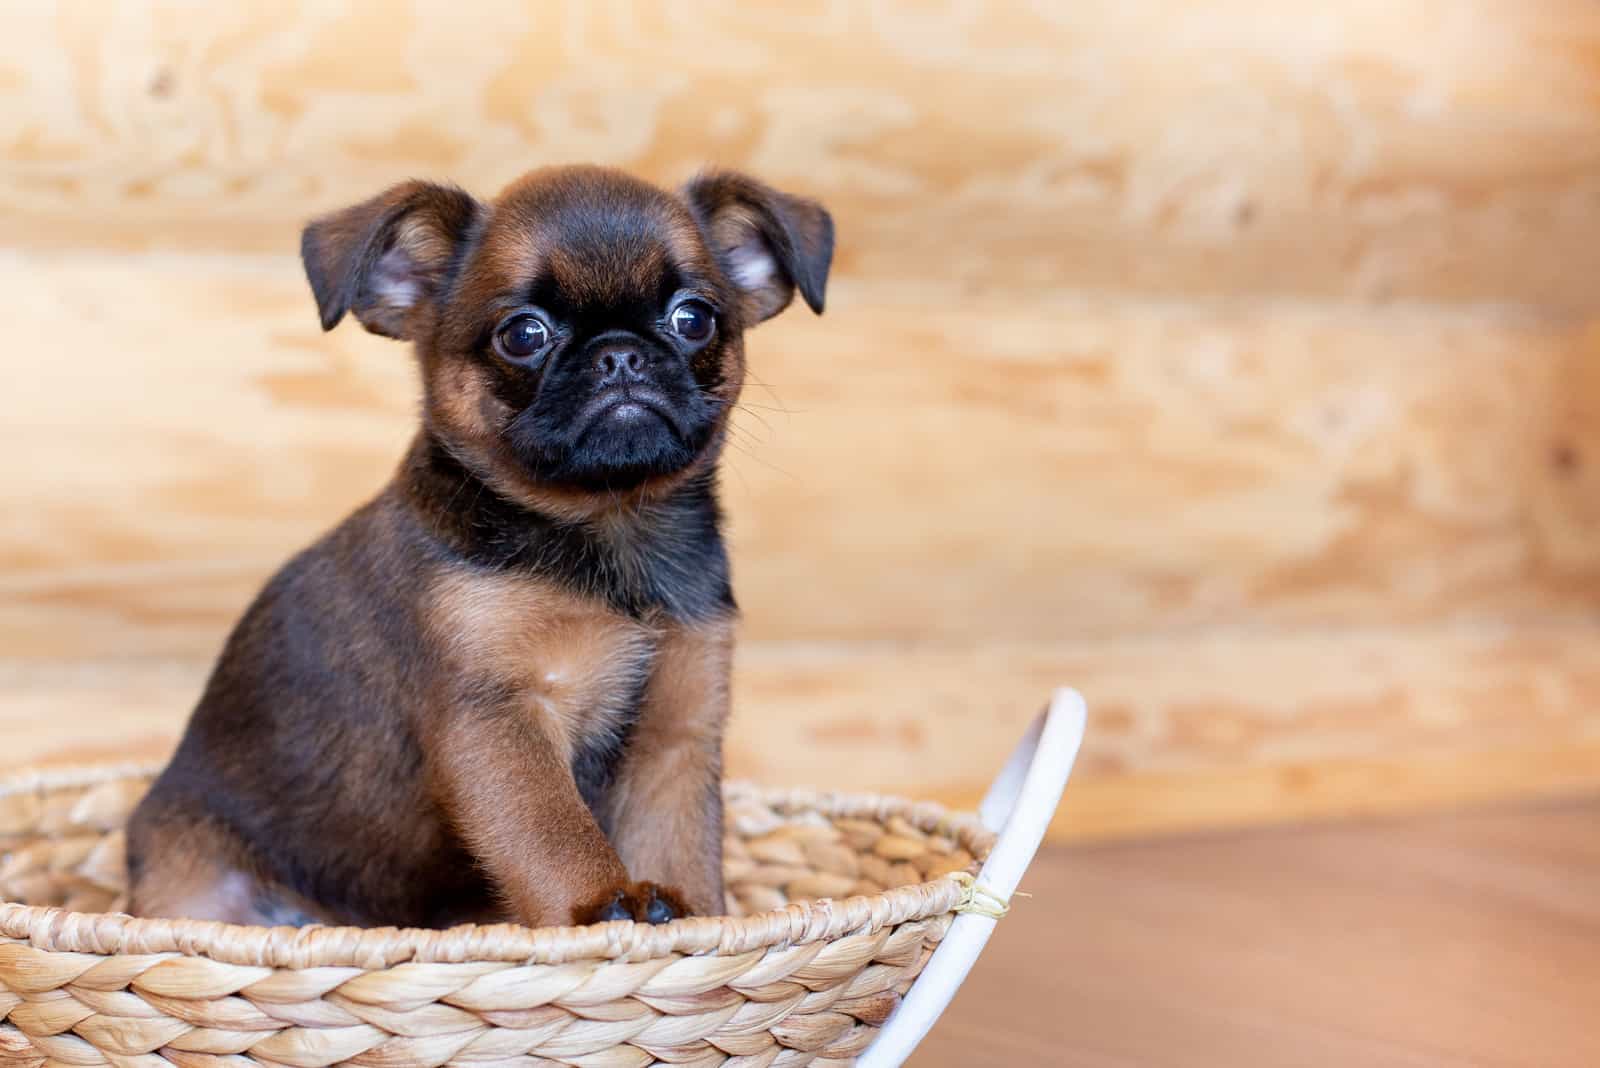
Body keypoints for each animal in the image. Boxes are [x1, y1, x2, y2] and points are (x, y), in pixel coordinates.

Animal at [121, 164, 838, 927]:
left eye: (693, 318)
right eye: (522, 335)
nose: (620, 353)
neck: (610, 534)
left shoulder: (677, 736)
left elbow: (680, 850)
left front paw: (690, 919)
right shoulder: (498, 723)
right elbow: (555, 834)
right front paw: (604, 904)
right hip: (192, 884)